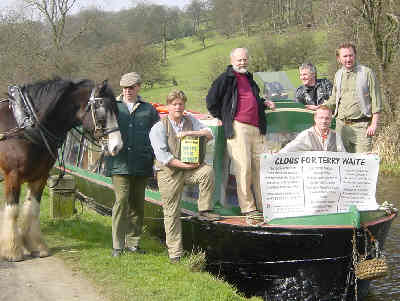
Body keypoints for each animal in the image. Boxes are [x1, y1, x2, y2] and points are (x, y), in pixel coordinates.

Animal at [0, 78, 123, 260]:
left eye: (116, 111)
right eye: (102, 112)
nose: (117, 146)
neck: (26, 126)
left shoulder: (40, 176)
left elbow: (32, 209)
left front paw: (37, 246)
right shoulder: (12, 175)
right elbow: (13, 210)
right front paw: (12, 250)